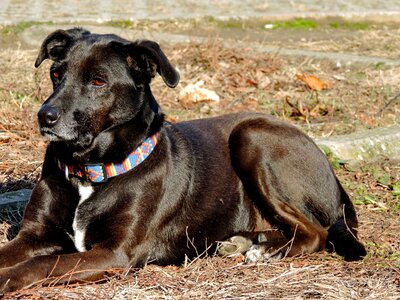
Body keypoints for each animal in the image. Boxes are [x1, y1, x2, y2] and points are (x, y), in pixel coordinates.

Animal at [0, 28, 366, 292]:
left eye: (99, 80)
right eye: (56, 74)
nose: (45, 116)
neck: (88, 170)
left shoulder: (113, 253)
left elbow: (44, 263)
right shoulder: (32, 235)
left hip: (251, 138)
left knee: (315, 232)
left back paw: (265, 251)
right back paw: (245, 242)